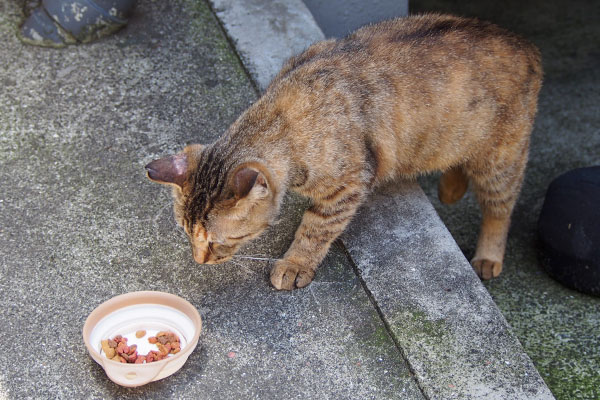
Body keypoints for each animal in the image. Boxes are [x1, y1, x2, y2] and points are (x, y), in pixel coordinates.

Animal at [146, 14, 544, 290]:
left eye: (219, 240)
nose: (199, 261)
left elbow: (315, 229)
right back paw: (449, 189)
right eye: (187, 234)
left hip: (499, 161)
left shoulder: (347, 184)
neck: (283, 117)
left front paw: (295, 264)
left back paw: (488, 255)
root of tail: (526, 44)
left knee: (499, 210)